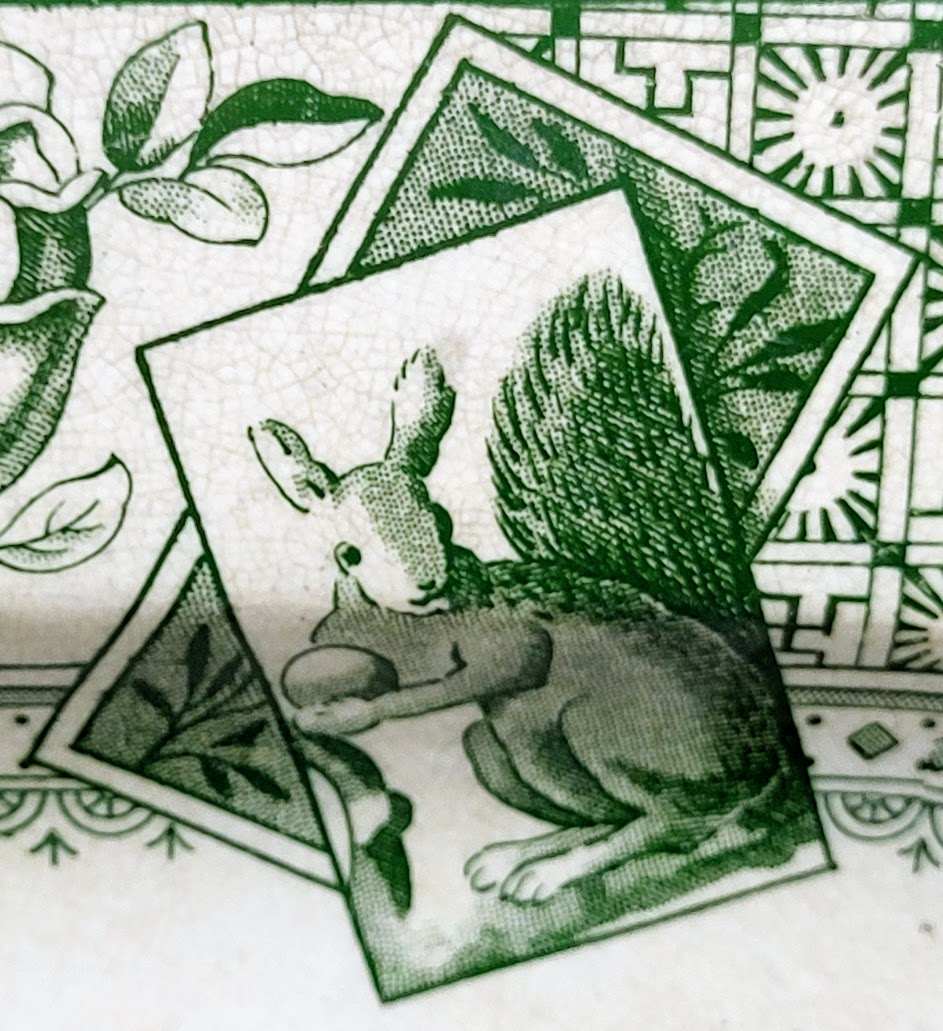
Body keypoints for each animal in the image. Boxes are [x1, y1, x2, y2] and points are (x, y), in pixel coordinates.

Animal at [248, 272, 804, 906]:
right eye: (350, 553)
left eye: (441, 520)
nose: (428, 586)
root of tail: (765, 757)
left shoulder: (504, 644)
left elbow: (481, 670)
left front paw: (339, 716)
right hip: (500, 747)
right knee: (617, 815)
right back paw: (511, 860)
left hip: (593, 728)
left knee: (680, 822)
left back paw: (548, 876)